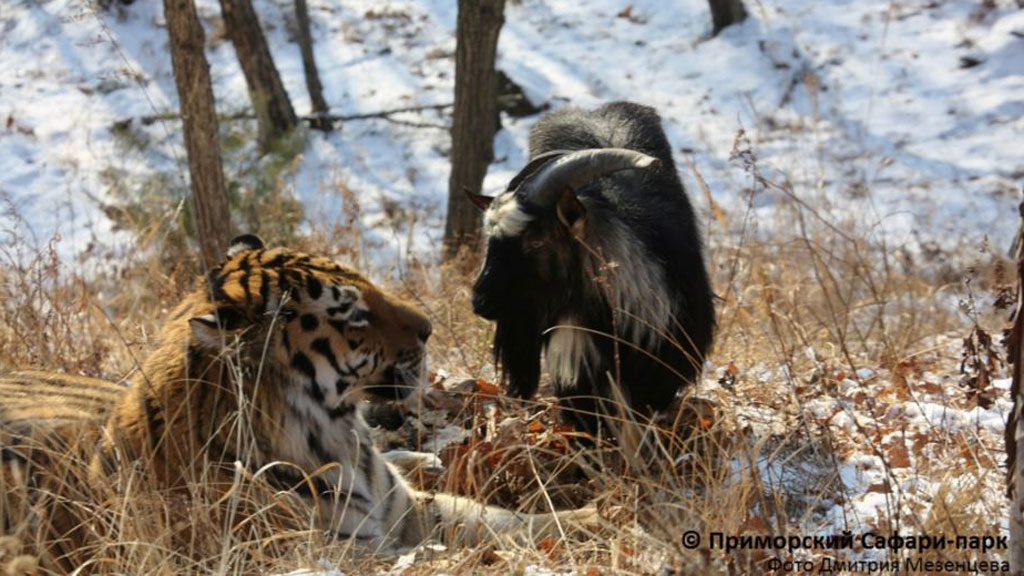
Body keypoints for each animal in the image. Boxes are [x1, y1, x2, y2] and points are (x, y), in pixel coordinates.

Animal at [1, 235, 597, 570]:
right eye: (354, 315)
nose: (429, 328)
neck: (340, 435)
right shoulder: (339, 554)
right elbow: (462, 553)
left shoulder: (407, 510)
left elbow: (504, 521)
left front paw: (595, 514)